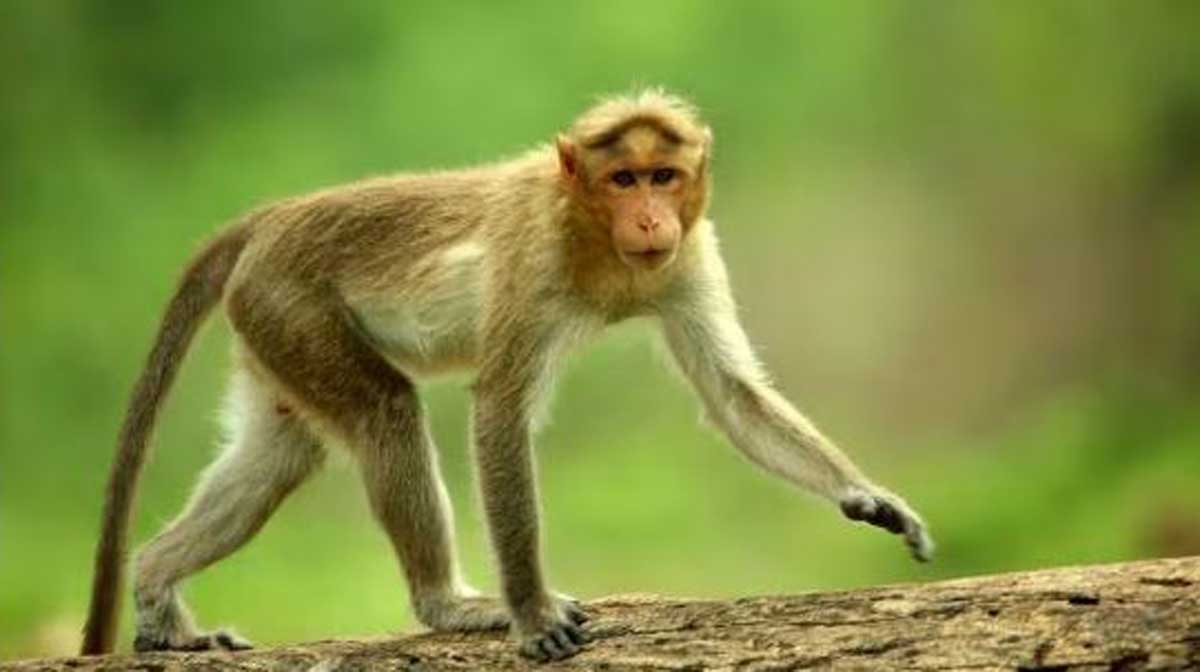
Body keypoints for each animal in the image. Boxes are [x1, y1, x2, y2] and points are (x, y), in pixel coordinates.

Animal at [81, 89, 934, 663]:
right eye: (623, 180)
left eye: (663, 175)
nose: (651, 218)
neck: (595, 237)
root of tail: (268, 219)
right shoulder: (534, 252)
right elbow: (499, 410)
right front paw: (532, 612)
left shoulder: (689, 255)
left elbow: (733, 395)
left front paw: (869, 498)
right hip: (289, 304)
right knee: (385, 413)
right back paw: (448, 605)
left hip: (269, 327)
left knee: (279, 455)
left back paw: (157, 594)